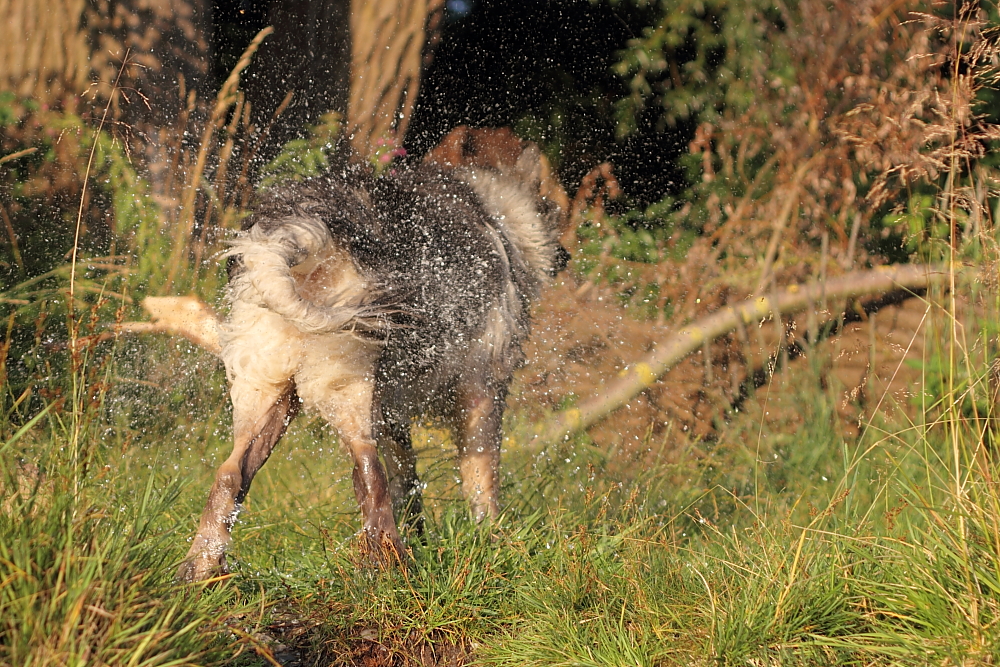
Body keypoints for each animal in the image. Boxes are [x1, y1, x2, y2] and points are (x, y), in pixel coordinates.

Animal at [180, 138, 568, 580]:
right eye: (555, 207)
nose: (566, 257)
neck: (495, 219)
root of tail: (299, 231)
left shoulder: (392, 412)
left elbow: (408, 480)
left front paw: (425, 533)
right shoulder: (483, 390)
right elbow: (481, 482)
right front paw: (492, 539)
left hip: (266, 393)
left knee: (230, 474)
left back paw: (200, 568)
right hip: (348, 384)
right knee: (369, 473)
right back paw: (395, 567)